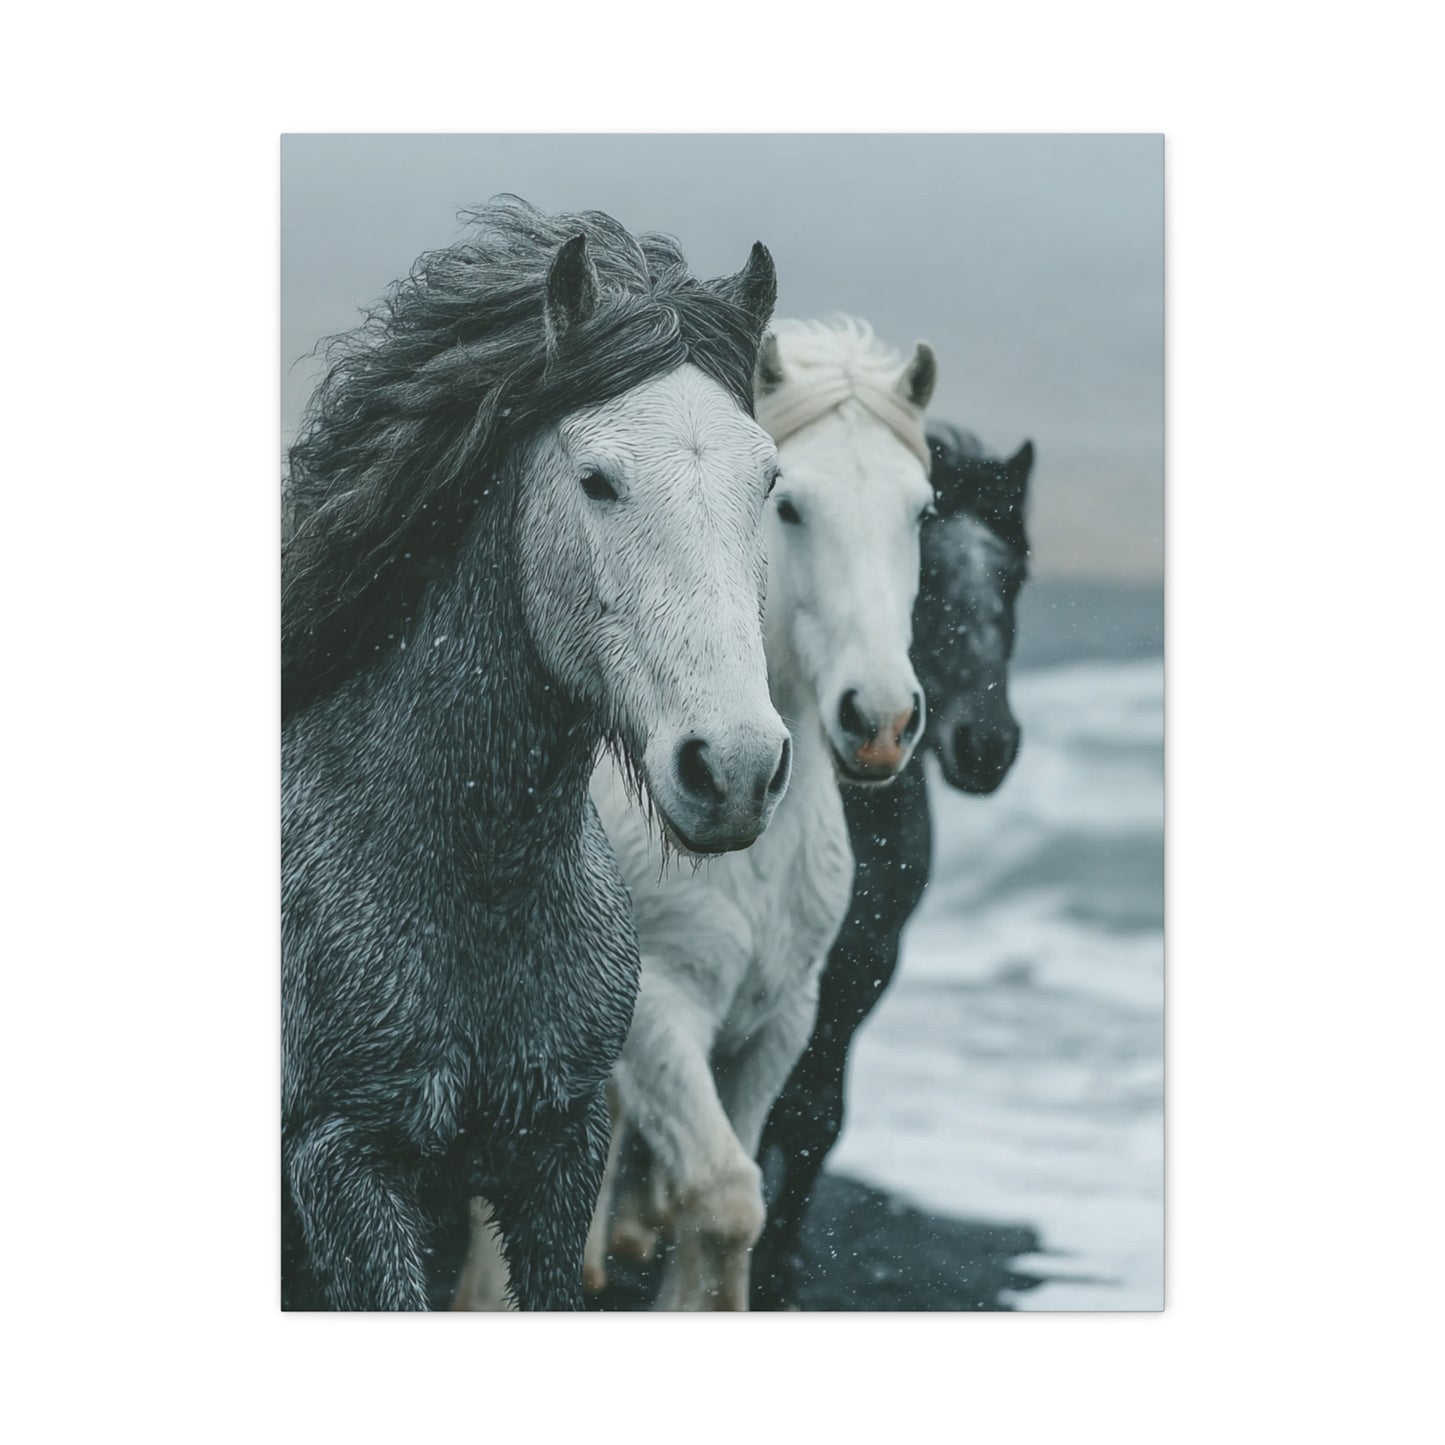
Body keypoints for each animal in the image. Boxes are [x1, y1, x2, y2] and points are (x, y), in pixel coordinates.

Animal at [579, 316, 939, 1309]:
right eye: (792, 506)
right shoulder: (658, 1013)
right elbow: (725, 1194)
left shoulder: (778, 1022)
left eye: (921, 511)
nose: (880, 720)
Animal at [749, 422, 1034, 1309]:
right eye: (928, 577)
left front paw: (776, 1268)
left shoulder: (861, 968)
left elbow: (812, 1120)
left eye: (1012, 578)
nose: (986, 744)